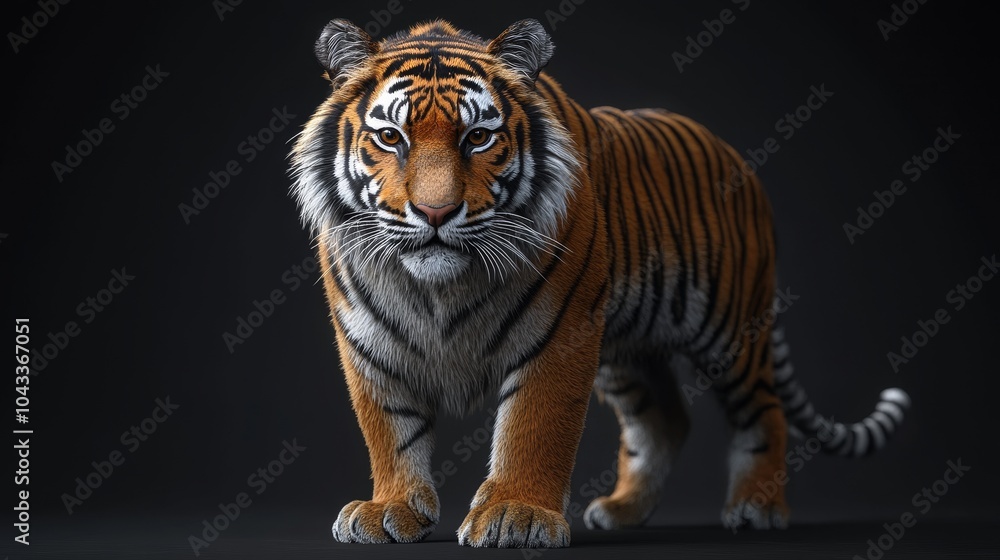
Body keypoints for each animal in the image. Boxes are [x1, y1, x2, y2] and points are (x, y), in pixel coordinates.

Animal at [288, 18, 910, 548]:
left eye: (478, 138)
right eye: (391, 137)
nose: (435, 212)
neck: (438, 289)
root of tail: (735, 156)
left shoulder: (559, 334)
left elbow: (535, 426)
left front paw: (516, 515)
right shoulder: (368, 342)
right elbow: (390, 432)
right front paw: (390, 509)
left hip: (732, 329)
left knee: (763, 413)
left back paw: (757, 508)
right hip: (628, 350)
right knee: (664, 421)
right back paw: (622, 510)